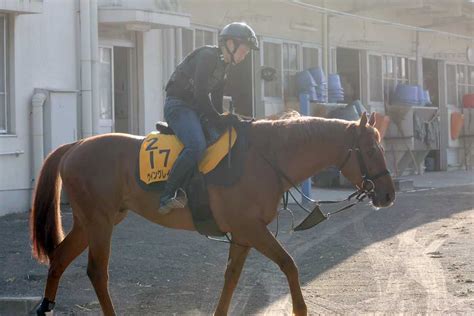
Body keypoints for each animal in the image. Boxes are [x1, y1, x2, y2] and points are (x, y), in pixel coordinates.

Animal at [30, 111, 396, 314]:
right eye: (370, 149)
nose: (389, 194)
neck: (264, 157)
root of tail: (76, 146)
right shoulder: (252, 230)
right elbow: (290, 265)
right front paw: (300, 309)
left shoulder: (244, 236)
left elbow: (231, 278)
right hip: (100, 221)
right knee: (96, 272)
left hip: (90, 222)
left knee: (60, 259)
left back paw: (46, 307)